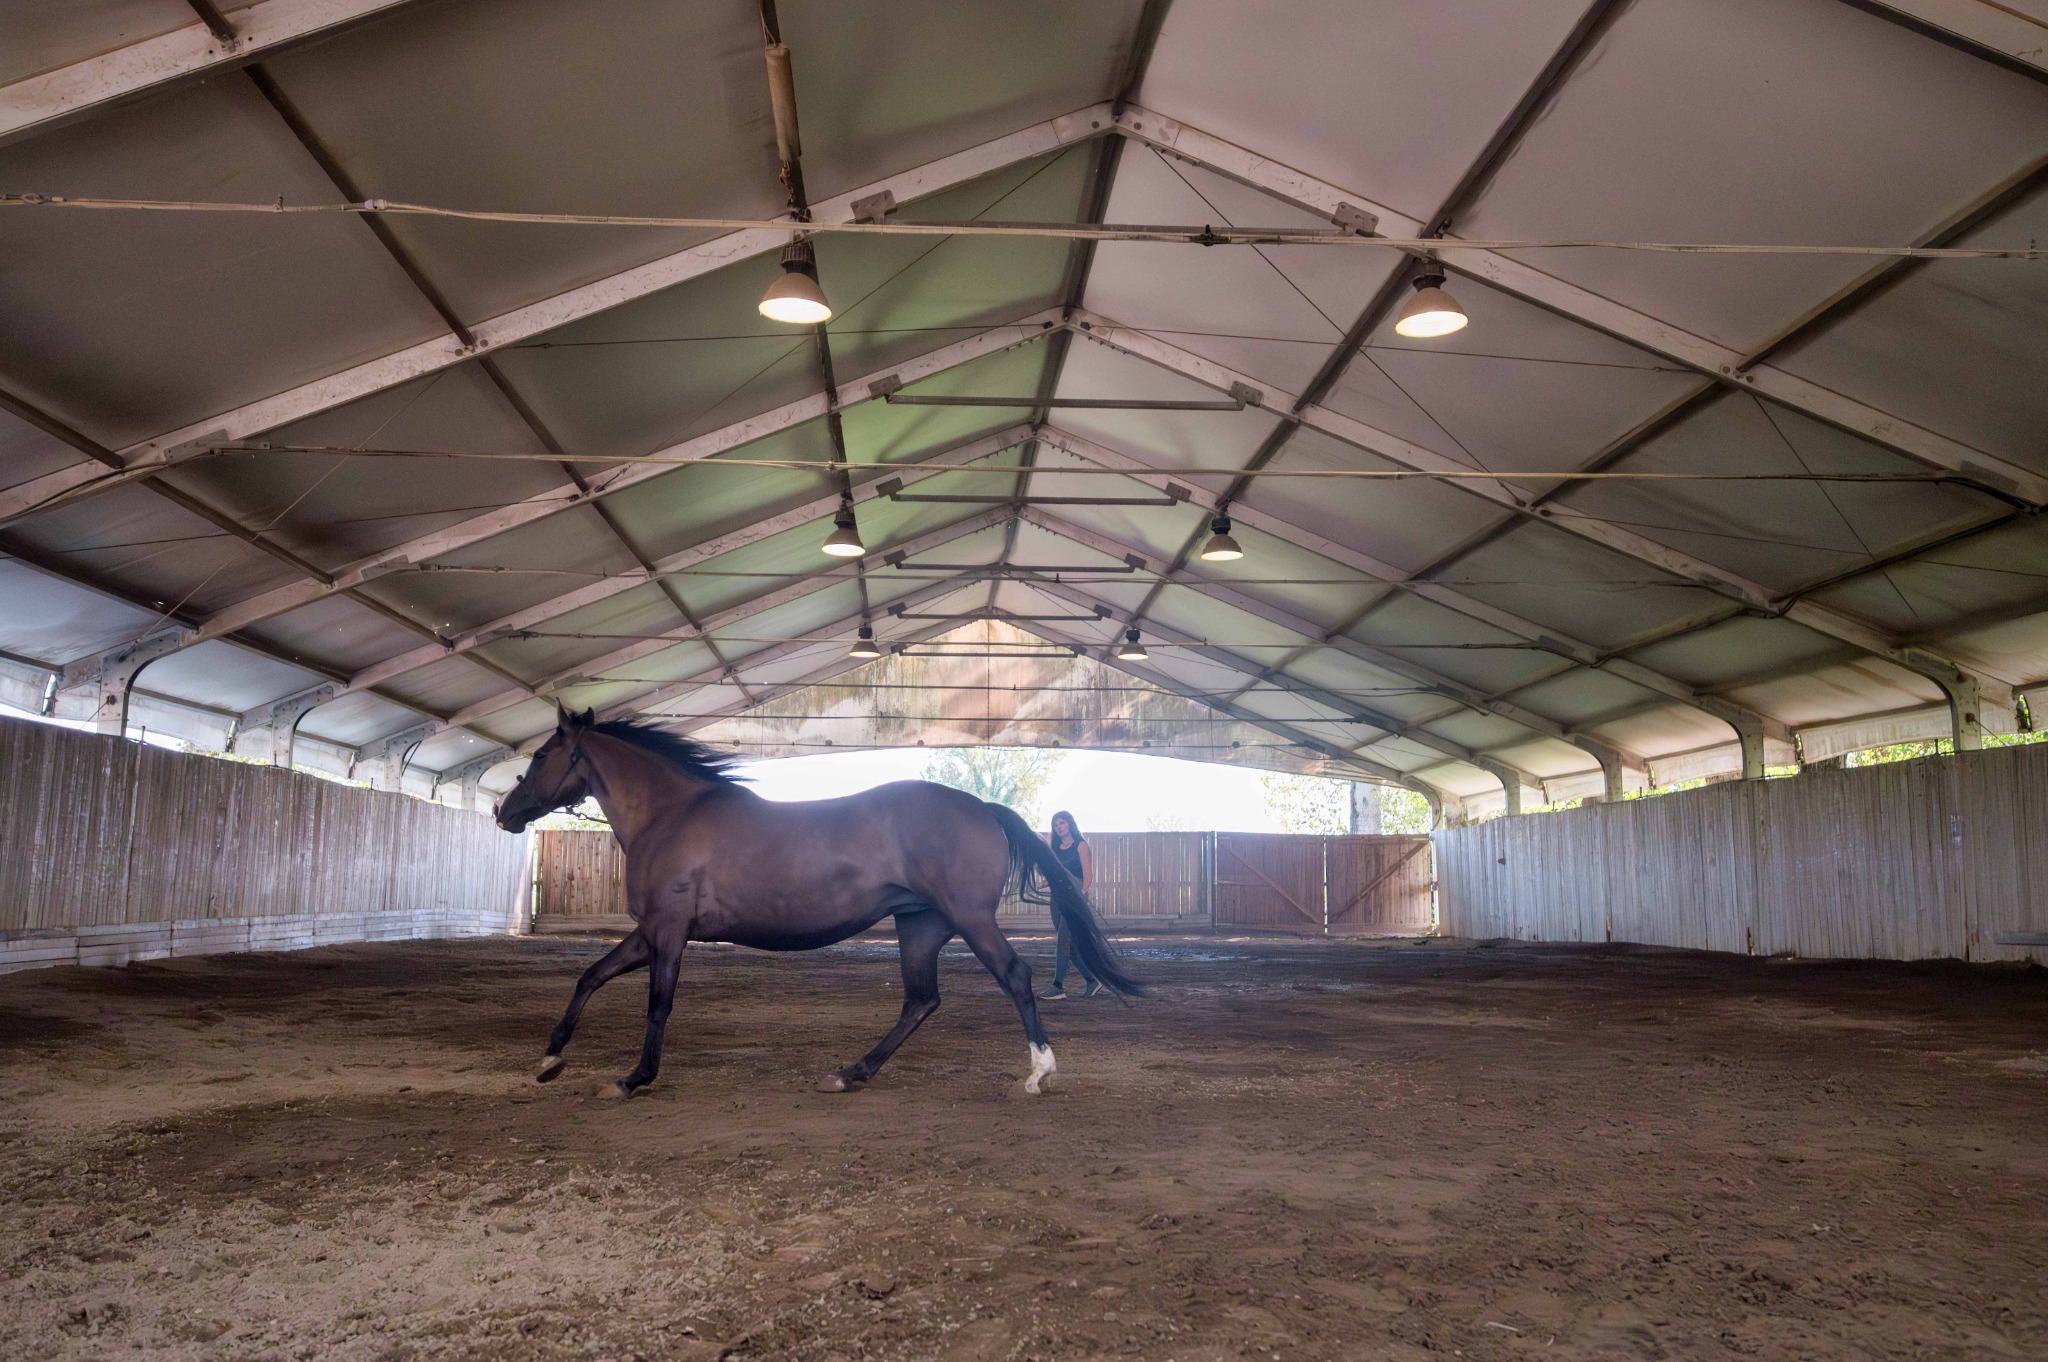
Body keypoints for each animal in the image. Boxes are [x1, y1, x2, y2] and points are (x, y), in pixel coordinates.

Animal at [492, 709, 1142, 1098]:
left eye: (541, 757)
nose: (504, 811)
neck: (671, 814)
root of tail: (982, 808)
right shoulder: (650, 931)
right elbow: (590, 976)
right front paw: (549, 1060)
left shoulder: (670, 931)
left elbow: (657, 1005)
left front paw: (633, 1078)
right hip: (920, 926)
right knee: (920, 1001)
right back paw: (852, 1072)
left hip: (969, 919)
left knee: (1013, 976)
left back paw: (1038, 1072)